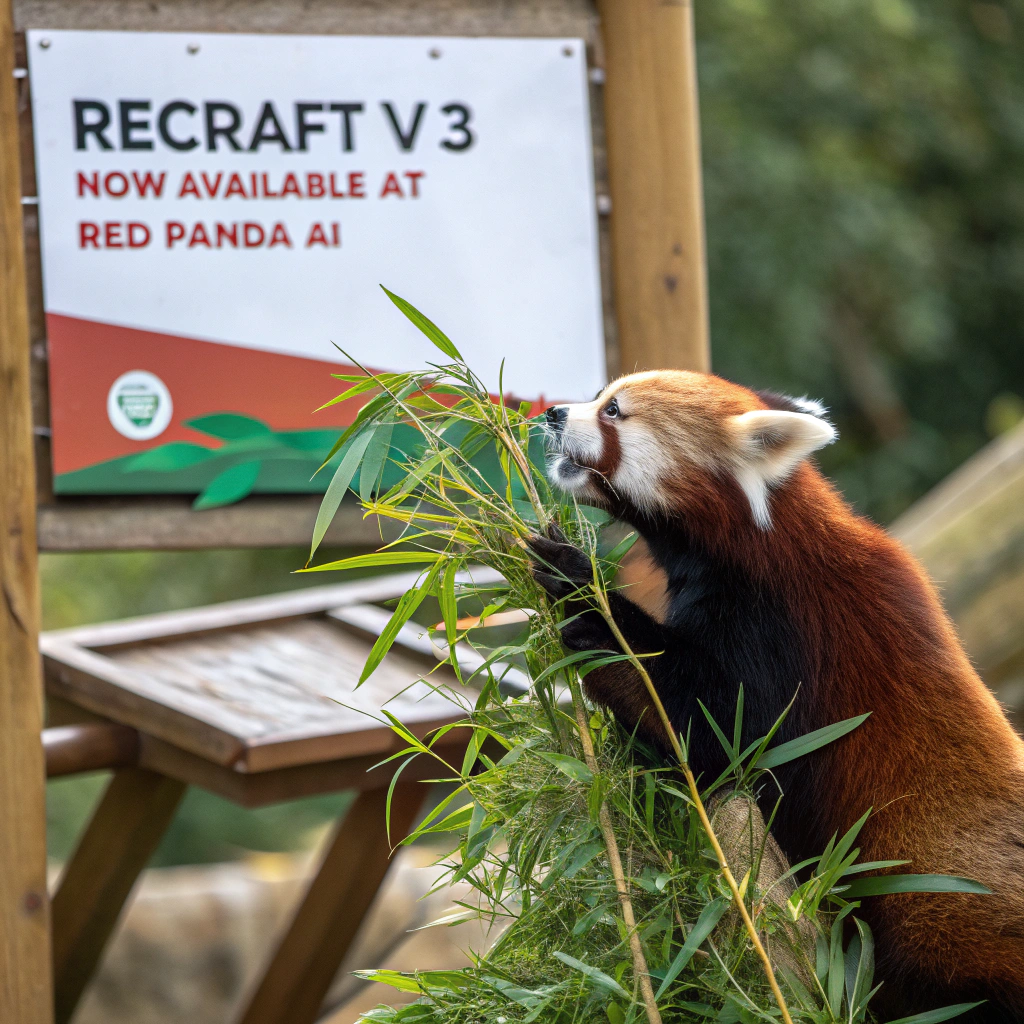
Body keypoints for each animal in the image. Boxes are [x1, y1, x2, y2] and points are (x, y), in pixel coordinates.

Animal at [528, 369, 1024, 1020]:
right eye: (598, 396)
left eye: (613, 412)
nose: (555, 413)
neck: (755, 545)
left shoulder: (783, 634)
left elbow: (715, 734)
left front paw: (585, 599)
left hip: (942, 918)